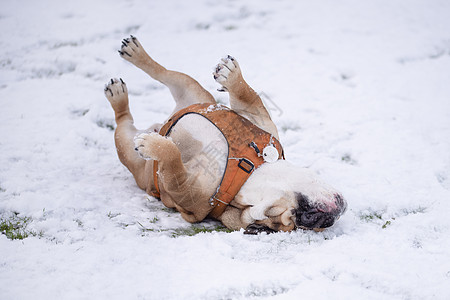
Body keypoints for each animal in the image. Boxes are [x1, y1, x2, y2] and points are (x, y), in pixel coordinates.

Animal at [103, 35, 346, 234]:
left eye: (300, 222)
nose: (325, 219)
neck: (252, 175)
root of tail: (160, 123)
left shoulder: (185, 190)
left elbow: (173, 165)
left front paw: (154, 146)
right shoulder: (260, 120)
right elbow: (247, 95)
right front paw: (232, 76)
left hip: (128, 151)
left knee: (123, 120)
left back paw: (120, 100)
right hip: (193, 90)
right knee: (163, 73)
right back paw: (134, 56)